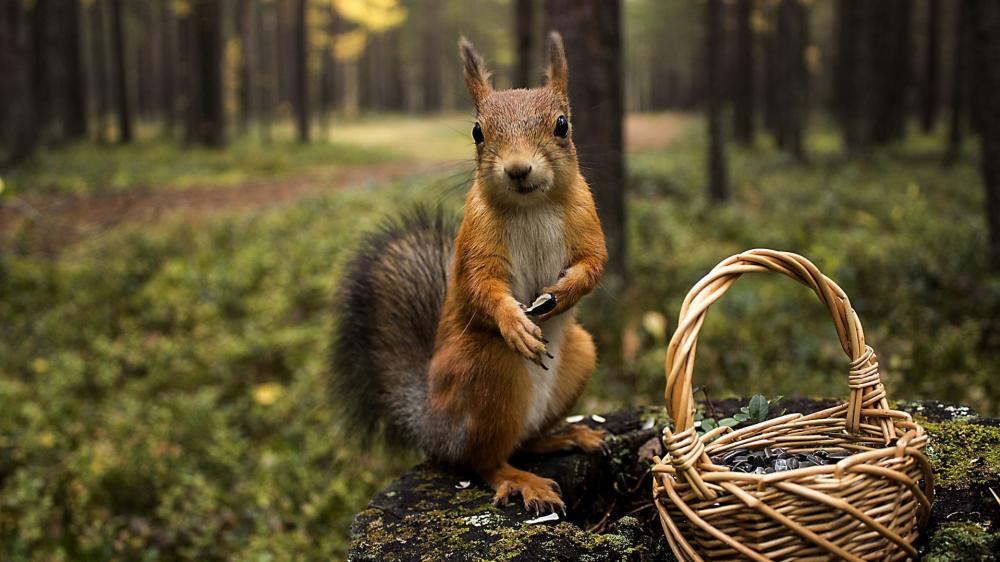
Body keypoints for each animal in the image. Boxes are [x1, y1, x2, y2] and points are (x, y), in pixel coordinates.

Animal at [332, 31, 604, 512]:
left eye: (562, 125)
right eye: (478, 132)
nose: (518, 169)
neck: (532, 206)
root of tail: (432, 426)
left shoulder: (587, 220)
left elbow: (593, 263)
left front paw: (563, 293)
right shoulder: (476, 239)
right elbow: (481, 286)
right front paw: (515, 322)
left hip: (579, 355)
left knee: (523, 441)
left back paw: (565, 436)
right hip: (485, 368)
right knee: (483, 460)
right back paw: (521, 479)